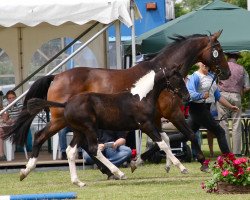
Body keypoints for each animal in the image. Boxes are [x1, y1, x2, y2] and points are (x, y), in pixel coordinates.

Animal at [25, 67, 189, 186]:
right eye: (178, 79)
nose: (187, 97)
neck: (141, 97)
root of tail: (66, 104)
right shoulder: (146, 125)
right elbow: (163, 144)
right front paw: (182, 167)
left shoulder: (150, 124)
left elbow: (166, 140)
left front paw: (164, 166)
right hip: (89, 129)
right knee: (94, 149)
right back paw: (118, 173)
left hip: (79, 131)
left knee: (71, 151)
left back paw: (77, 182)